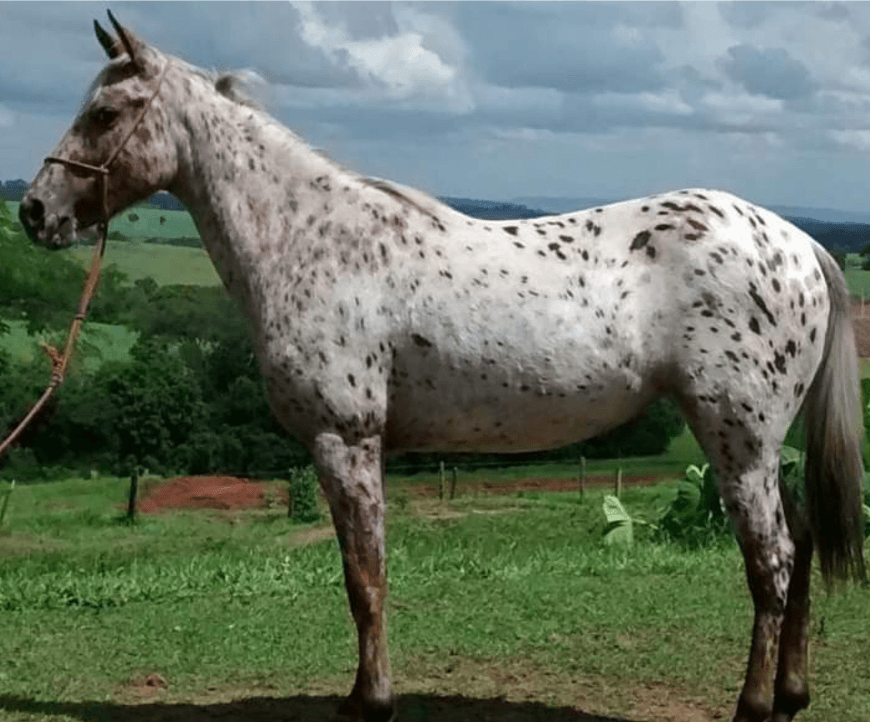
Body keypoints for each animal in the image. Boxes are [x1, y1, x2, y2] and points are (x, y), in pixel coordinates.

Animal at [18, 15, 866, 722]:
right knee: (800, 545)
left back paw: (753, 707)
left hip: (737, 440)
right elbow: (363, 575)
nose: (34, 212)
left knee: (773, 562)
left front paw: (371, 703)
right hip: (756, 446)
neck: (310, 240)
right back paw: (792, 696)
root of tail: (800, 244)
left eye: (104, 115)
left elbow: (365, 578)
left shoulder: (345, 440)